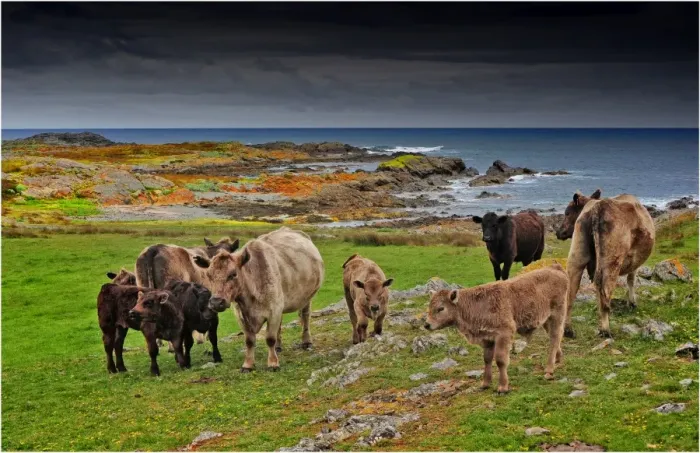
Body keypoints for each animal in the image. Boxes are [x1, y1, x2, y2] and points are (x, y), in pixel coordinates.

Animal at [192, 227, 324, 372]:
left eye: (233, 274)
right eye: (209, 275)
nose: (216, 302)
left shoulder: (273, 311)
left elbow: (270, 338)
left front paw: (273, 363)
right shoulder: (241, 316)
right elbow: (249, 341)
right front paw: (248, 364)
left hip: (307, 297)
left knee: (305, 316)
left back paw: (306, 342)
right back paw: (278, 347)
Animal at [424, 263, 568, 393]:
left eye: (441, 308)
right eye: (430, 306)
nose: (427, 324)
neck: (477, 305)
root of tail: (555, 268)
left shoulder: (504, 334)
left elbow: (500, 360)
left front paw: (503, 387)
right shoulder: (487, 338)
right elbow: (487, 359)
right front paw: (485, 383)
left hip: (557, 314)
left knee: (555, 336)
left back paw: (549, 370)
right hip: (546, 319)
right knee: (554, 337)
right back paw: (558, 358)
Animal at [555, 190, 655, 338]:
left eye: (567, 212)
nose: (558, 232)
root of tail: (598, 206)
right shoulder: (634, 261)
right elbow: (631, 280)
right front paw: (632, 303)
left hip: (576, 256)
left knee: (571, 293)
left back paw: (568, 330)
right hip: (612, 261)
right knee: (605, 291)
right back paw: (605, 330)